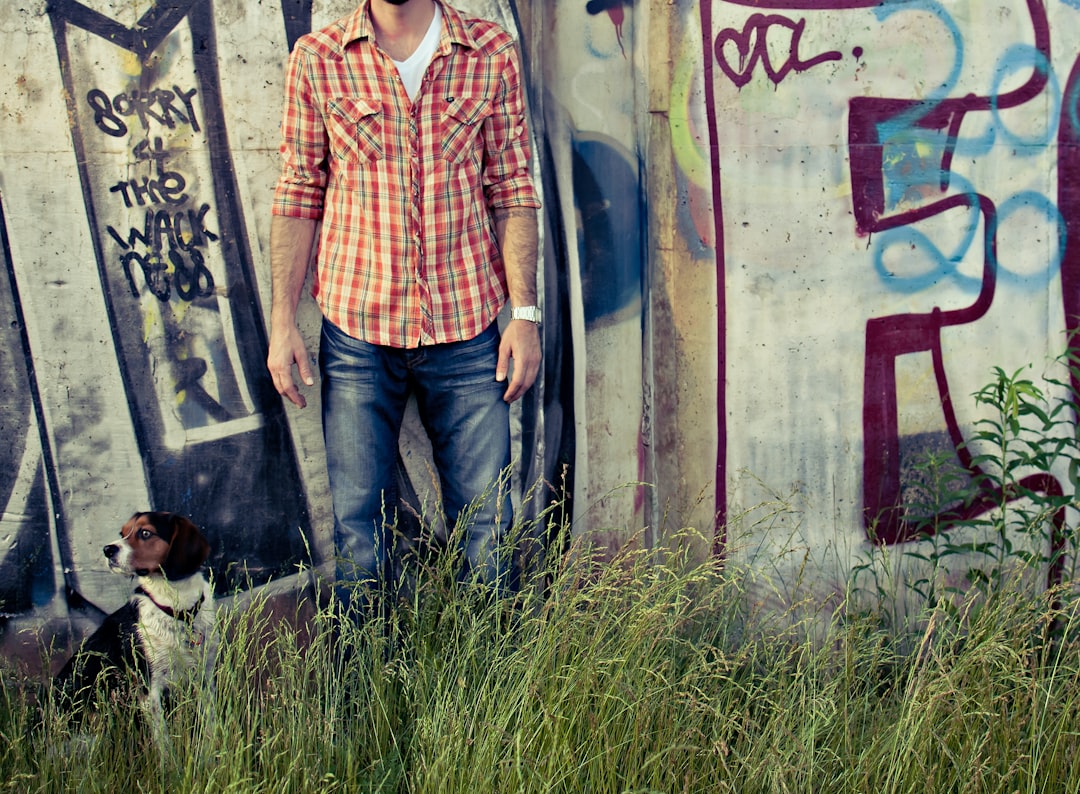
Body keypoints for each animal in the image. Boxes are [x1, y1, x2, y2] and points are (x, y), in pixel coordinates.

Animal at [54, 512, 217, 734]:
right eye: (122, 533)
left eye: (145, 533)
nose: (107, 549)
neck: (178, 611)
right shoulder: (149, 689)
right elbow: (162, 738)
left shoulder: (205, 677)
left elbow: (210, 723)